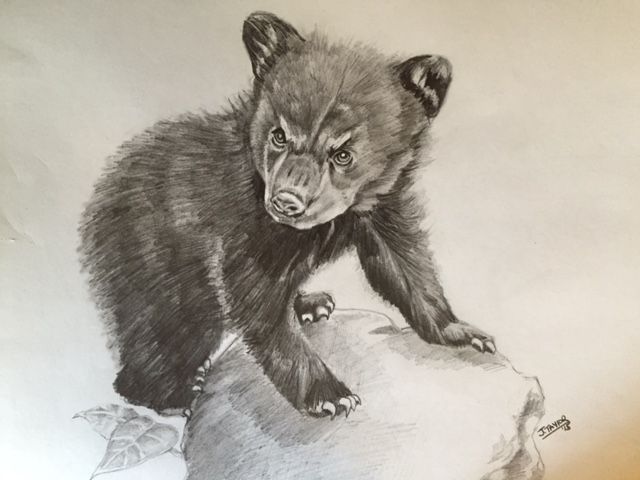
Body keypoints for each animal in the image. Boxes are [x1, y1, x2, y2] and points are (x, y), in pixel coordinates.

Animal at [79, 11, 495, 417]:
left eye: (343, 153)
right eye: (279, 135)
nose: (286, 201)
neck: (338, 217)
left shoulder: (382, 207)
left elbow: (404, 265)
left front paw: (462, 332)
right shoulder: (245, 226)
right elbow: (258, 302)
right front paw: (329, 394)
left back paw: (309, 303)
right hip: (152, 262)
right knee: (165, 332)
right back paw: (175, 394)